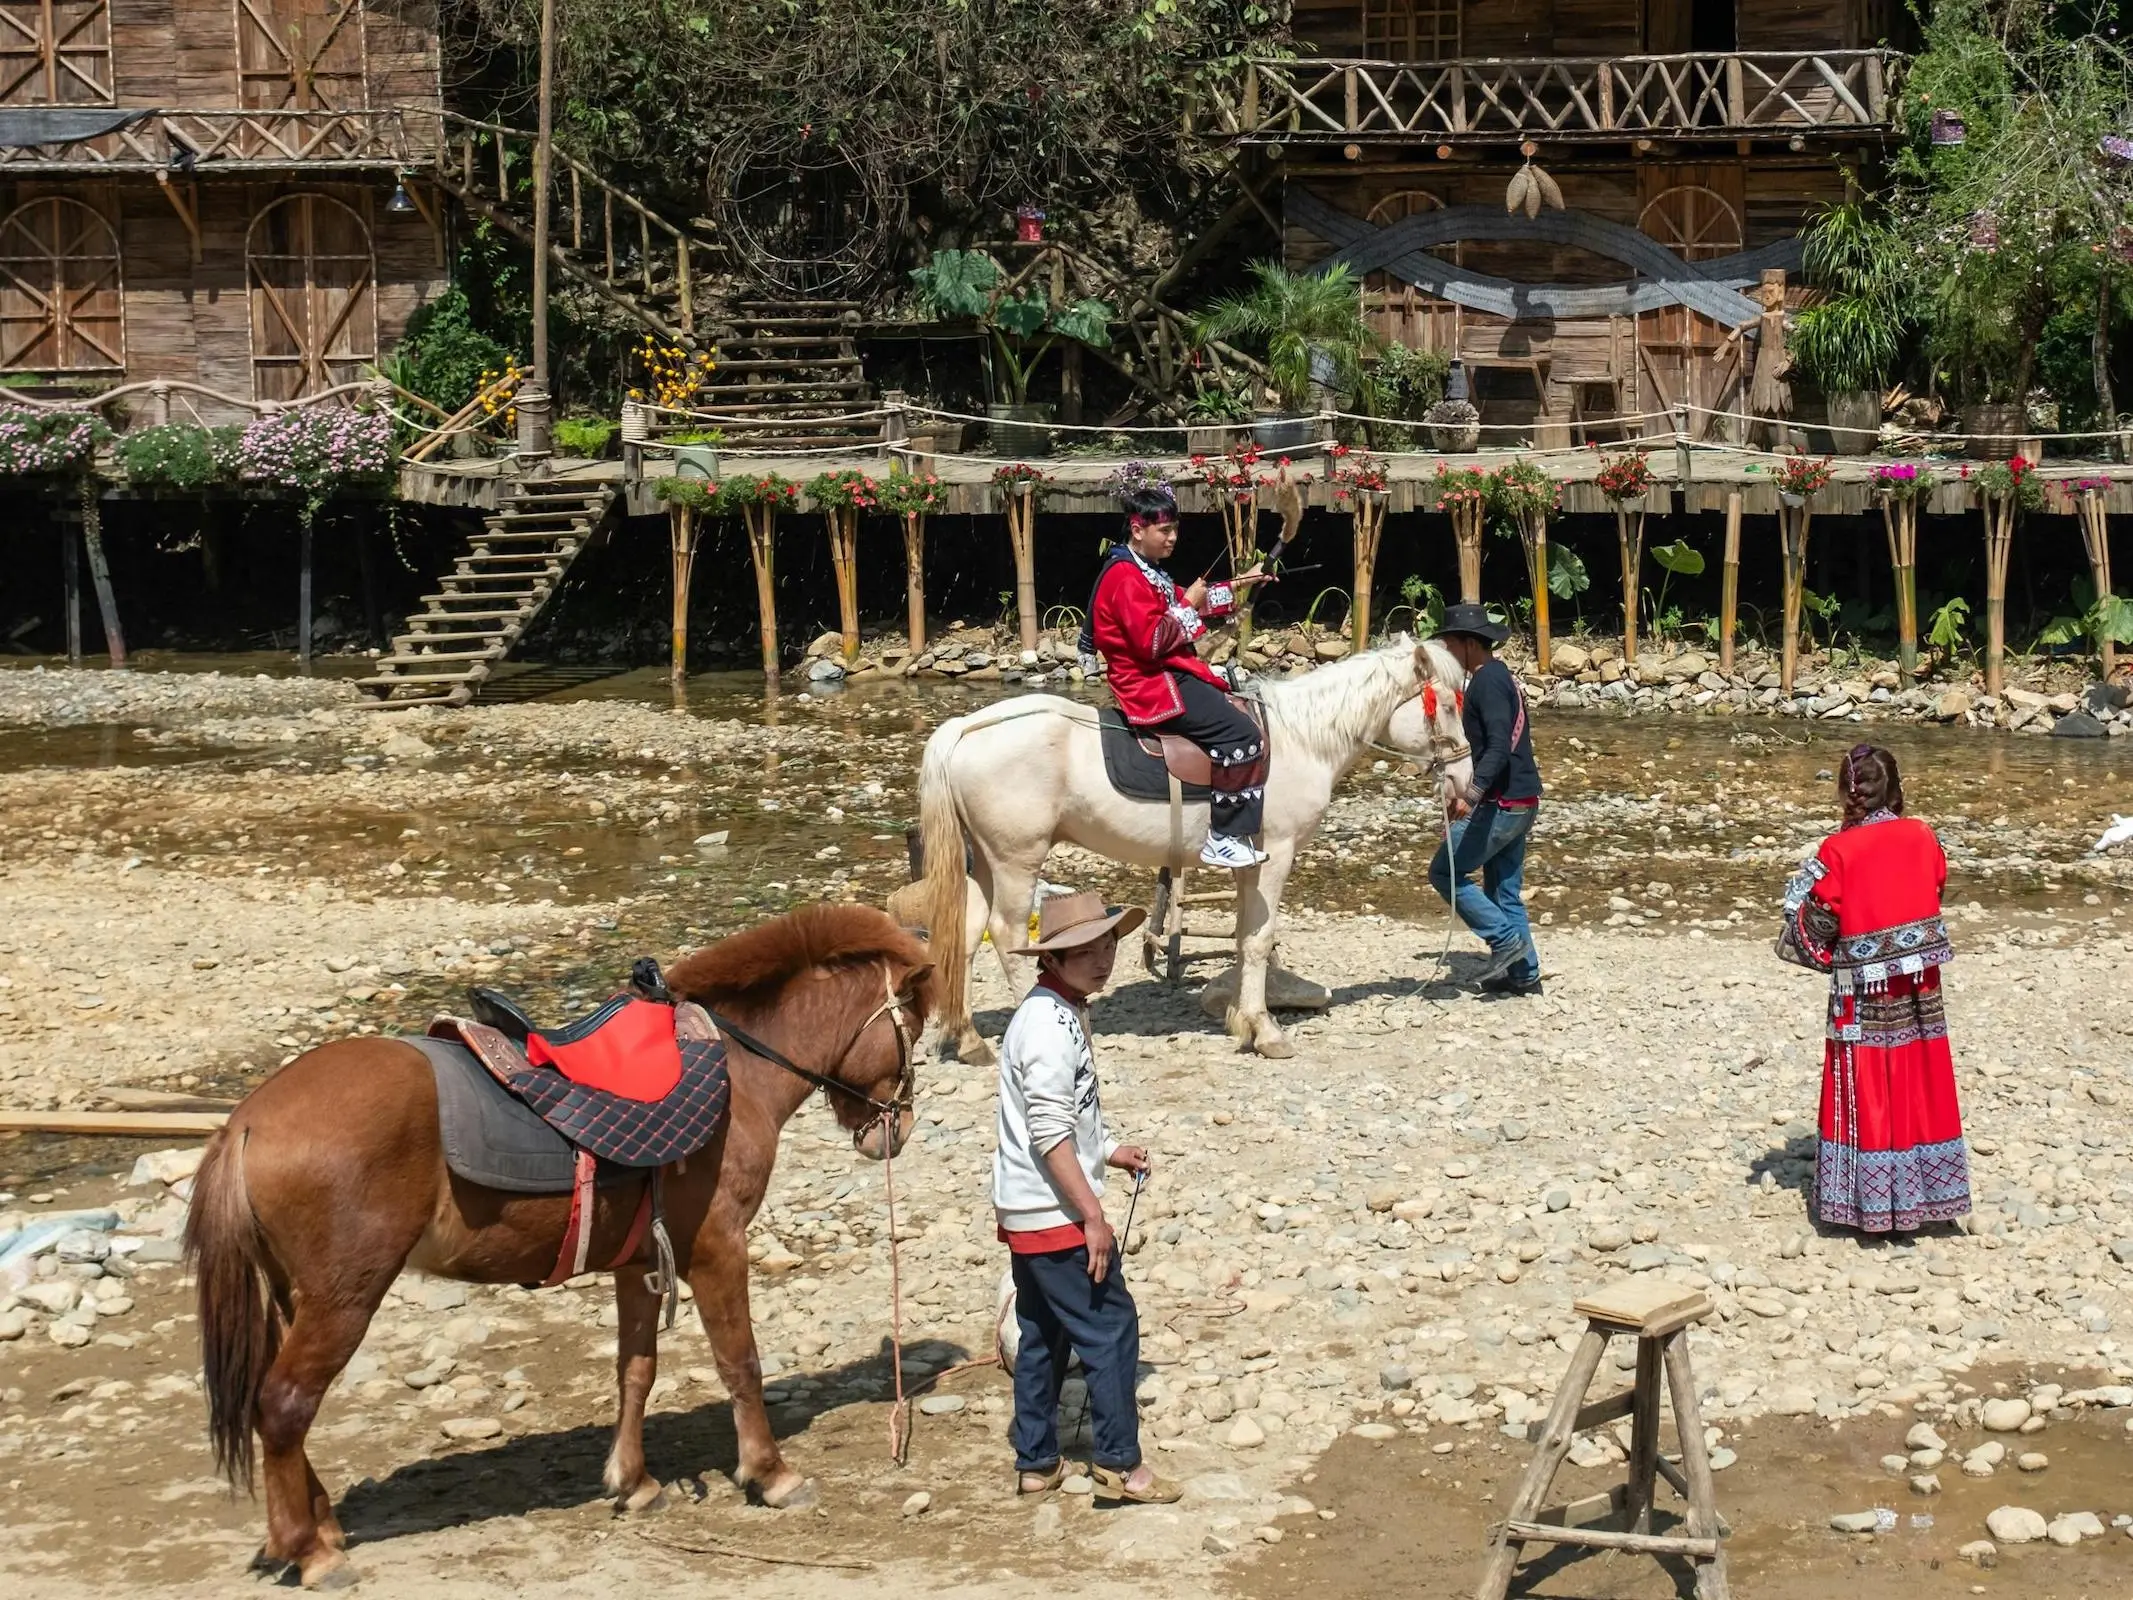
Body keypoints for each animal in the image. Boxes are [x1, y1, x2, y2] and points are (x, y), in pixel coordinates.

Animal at [187, 904, 938, 1595]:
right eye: (913, 1030)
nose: (895, 1132)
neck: (736, 1070)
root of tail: (245, 1122)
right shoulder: (716, 1247)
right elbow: (740, 1364)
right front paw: (772, 1475)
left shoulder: (641, 1264)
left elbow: (635, 1370)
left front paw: (634, 1483)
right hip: (344, 1297)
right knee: (284, 1404)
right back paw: (308, 1552)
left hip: (297, 1298)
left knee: (274, 1406)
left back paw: (318, 1528)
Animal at [908, 640, 1476, 1066]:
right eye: (1447, 706)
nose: (1466, 783)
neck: (1301, 739)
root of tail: (965, 729)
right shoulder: (1278, 854)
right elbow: (1258, 940)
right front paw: (1266, 1032)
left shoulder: (1251, 865)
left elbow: (1247, 939)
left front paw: (1244, 1022)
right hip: (1016, 859)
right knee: (1007, 937)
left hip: (983, 861)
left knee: (965, 936)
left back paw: (969, 1041)